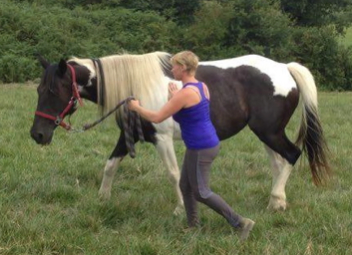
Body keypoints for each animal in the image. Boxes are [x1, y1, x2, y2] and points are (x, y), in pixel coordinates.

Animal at [29, 50, 330, 214]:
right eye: (38, 89)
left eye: (54, 91)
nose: (37, 135)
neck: (134, 85)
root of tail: (285, 68)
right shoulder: (129, 137)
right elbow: (110, 165)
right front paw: (103, 199)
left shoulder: (161, 139)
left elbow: (173, 174)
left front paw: (180, 209)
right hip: (266, 132)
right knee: (278, 163)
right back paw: (276, 203)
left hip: (269, 131)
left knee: (291, 156)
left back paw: (276, 200)